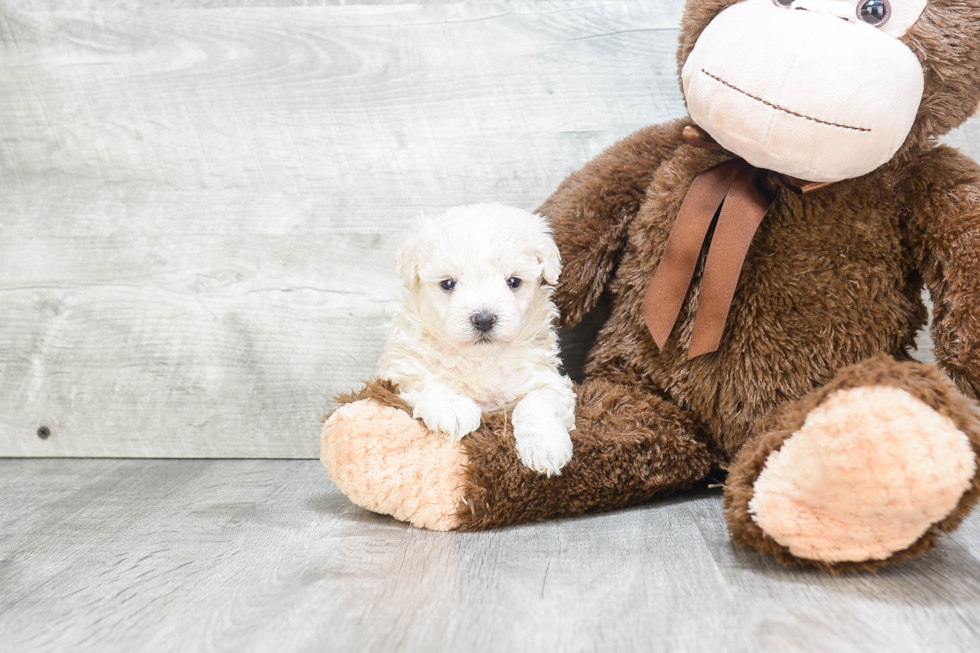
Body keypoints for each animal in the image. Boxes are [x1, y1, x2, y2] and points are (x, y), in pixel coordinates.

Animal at [376, 202, 576, 474]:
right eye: (448, 284)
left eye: (514, 282)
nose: (483, 319)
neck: (481, 358)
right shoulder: (402, 369)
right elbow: (428, 379)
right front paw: (453, 409)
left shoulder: (547, 379)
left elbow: (537, 403)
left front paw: (546, 447)